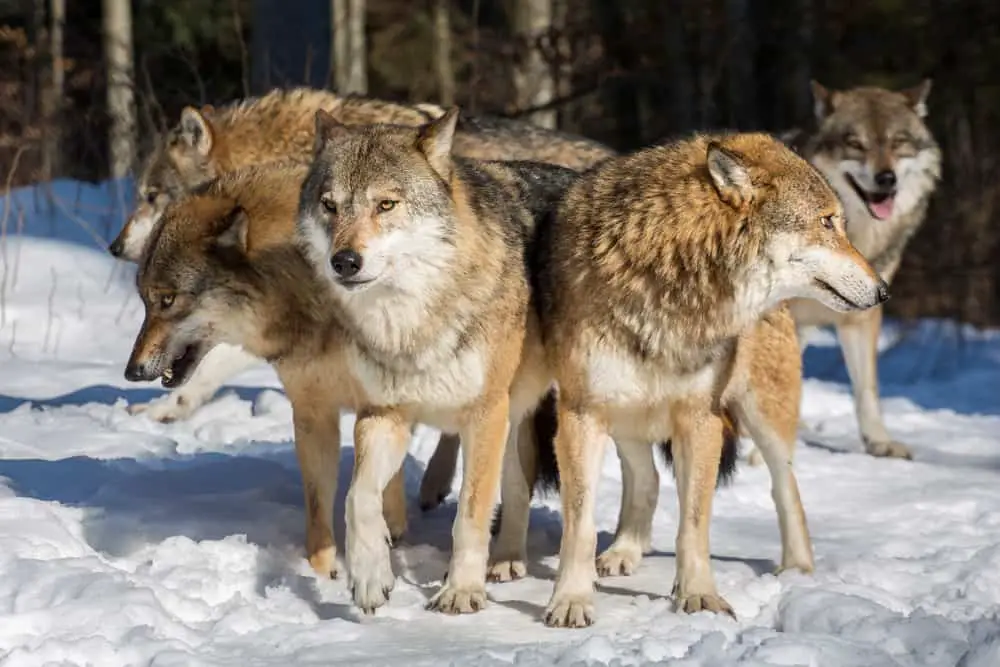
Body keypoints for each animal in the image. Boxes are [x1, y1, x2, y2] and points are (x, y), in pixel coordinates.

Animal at [122, 159, 422, 580]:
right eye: (145, 301)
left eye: (168, 300)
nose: (131, 371)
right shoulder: (313, 410)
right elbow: (318, 506)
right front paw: (321, 573)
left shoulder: (385, 401)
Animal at [532, 133, 892, 628]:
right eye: (827, 221)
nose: (884, 291)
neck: (674, 281)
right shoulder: (581, 413)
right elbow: (580, 526)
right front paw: (571, 600)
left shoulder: (699, 418)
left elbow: (694, 524)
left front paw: (699, 597)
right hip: (628, 414)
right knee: (647, 478)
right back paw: (625, 551)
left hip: (761, 413)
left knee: (786, 487)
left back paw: (797, 569)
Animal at [784, 81, 940, 462]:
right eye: (855, 143)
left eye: (899, 142)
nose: (886, 179)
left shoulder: (863, 314)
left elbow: (866, 388)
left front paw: (879, 442)